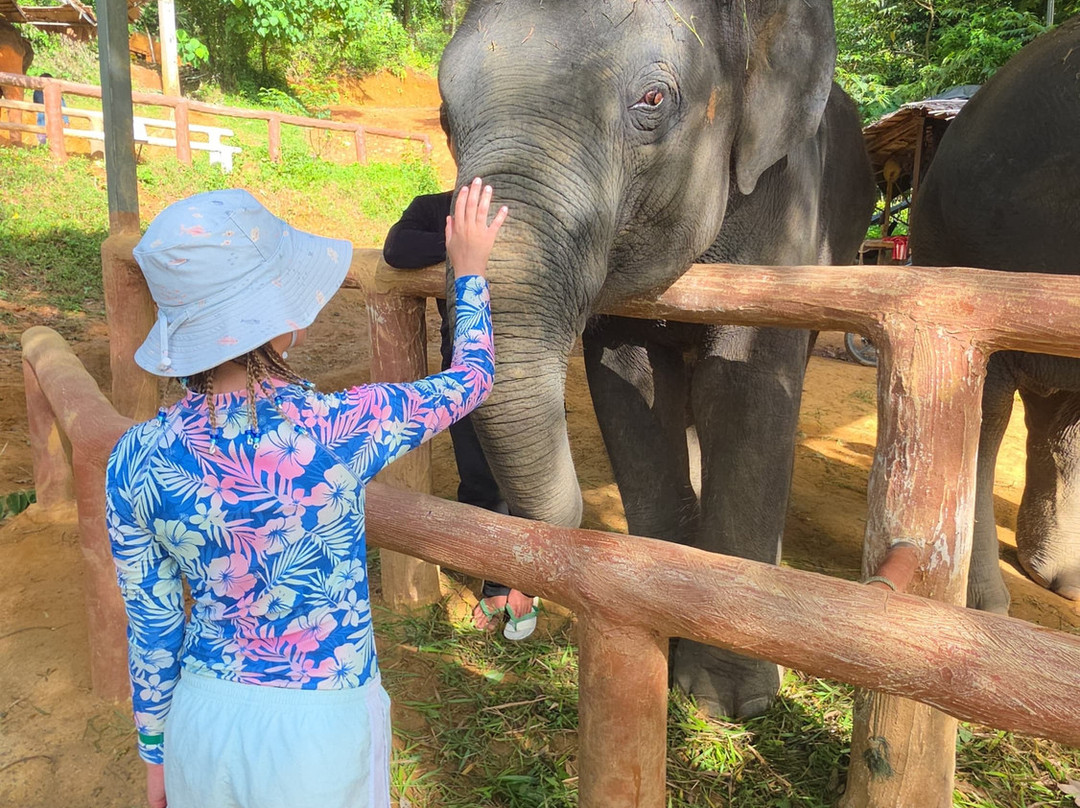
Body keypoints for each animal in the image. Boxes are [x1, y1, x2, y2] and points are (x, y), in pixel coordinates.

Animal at [439, 0, 876, 718]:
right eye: (444, 115)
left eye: (653, 100)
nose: (507, 608)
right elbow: (630, 385)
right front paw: (666, 622)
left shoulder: (787, 204)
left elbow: (746, 391)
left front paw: (726, 703)